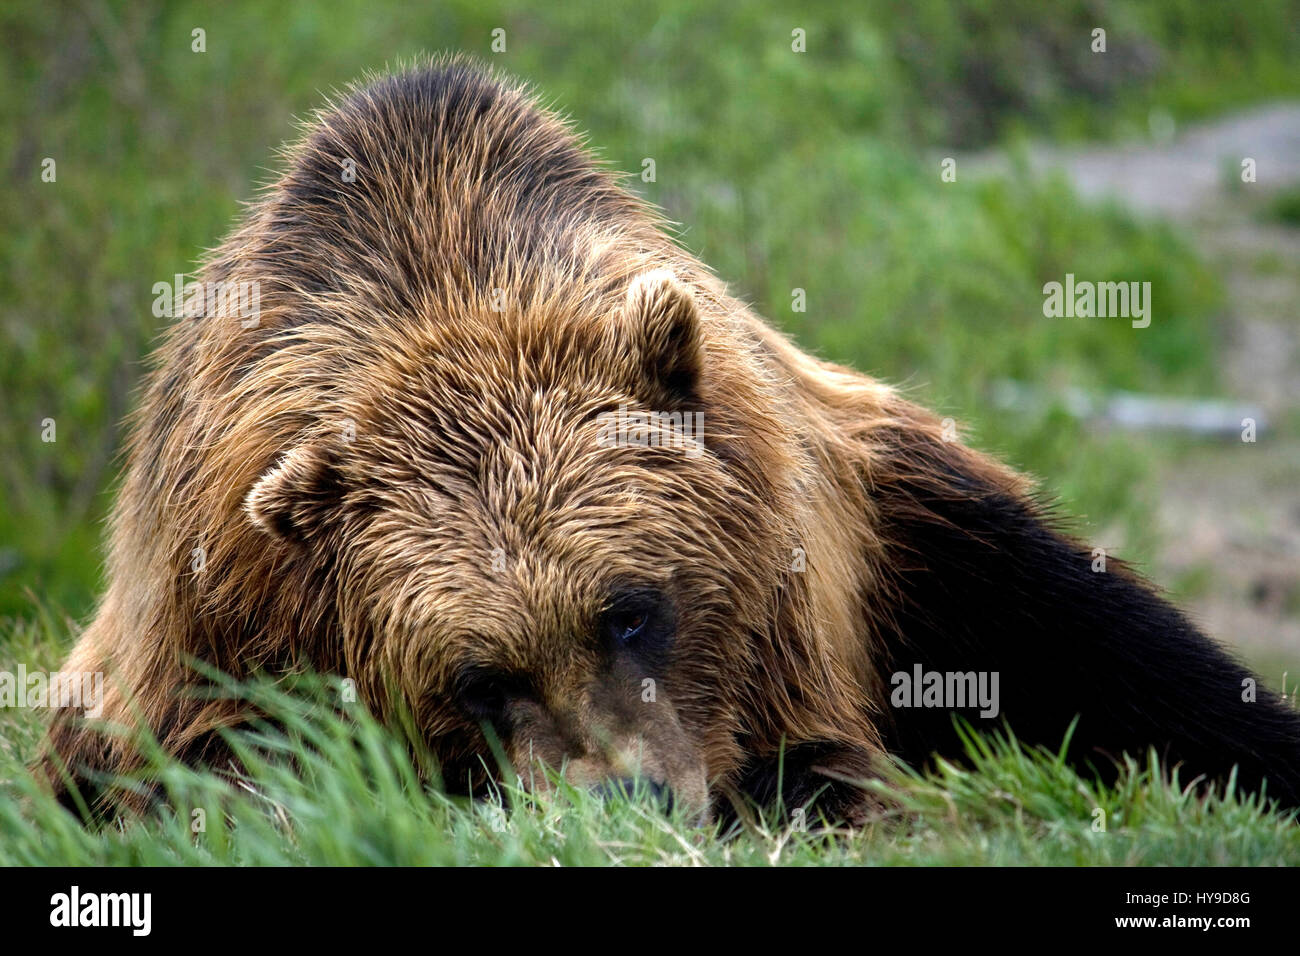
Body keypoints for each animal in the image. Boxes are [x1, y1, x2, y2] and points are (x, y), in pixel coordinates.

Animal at [40, 55, 1300, 827]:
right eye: (475, 675)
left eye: (630, 607)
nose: (625, 798)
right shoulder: (222, 604)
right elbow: (220, 768)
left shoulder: (814, 568)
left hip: (921, 526)